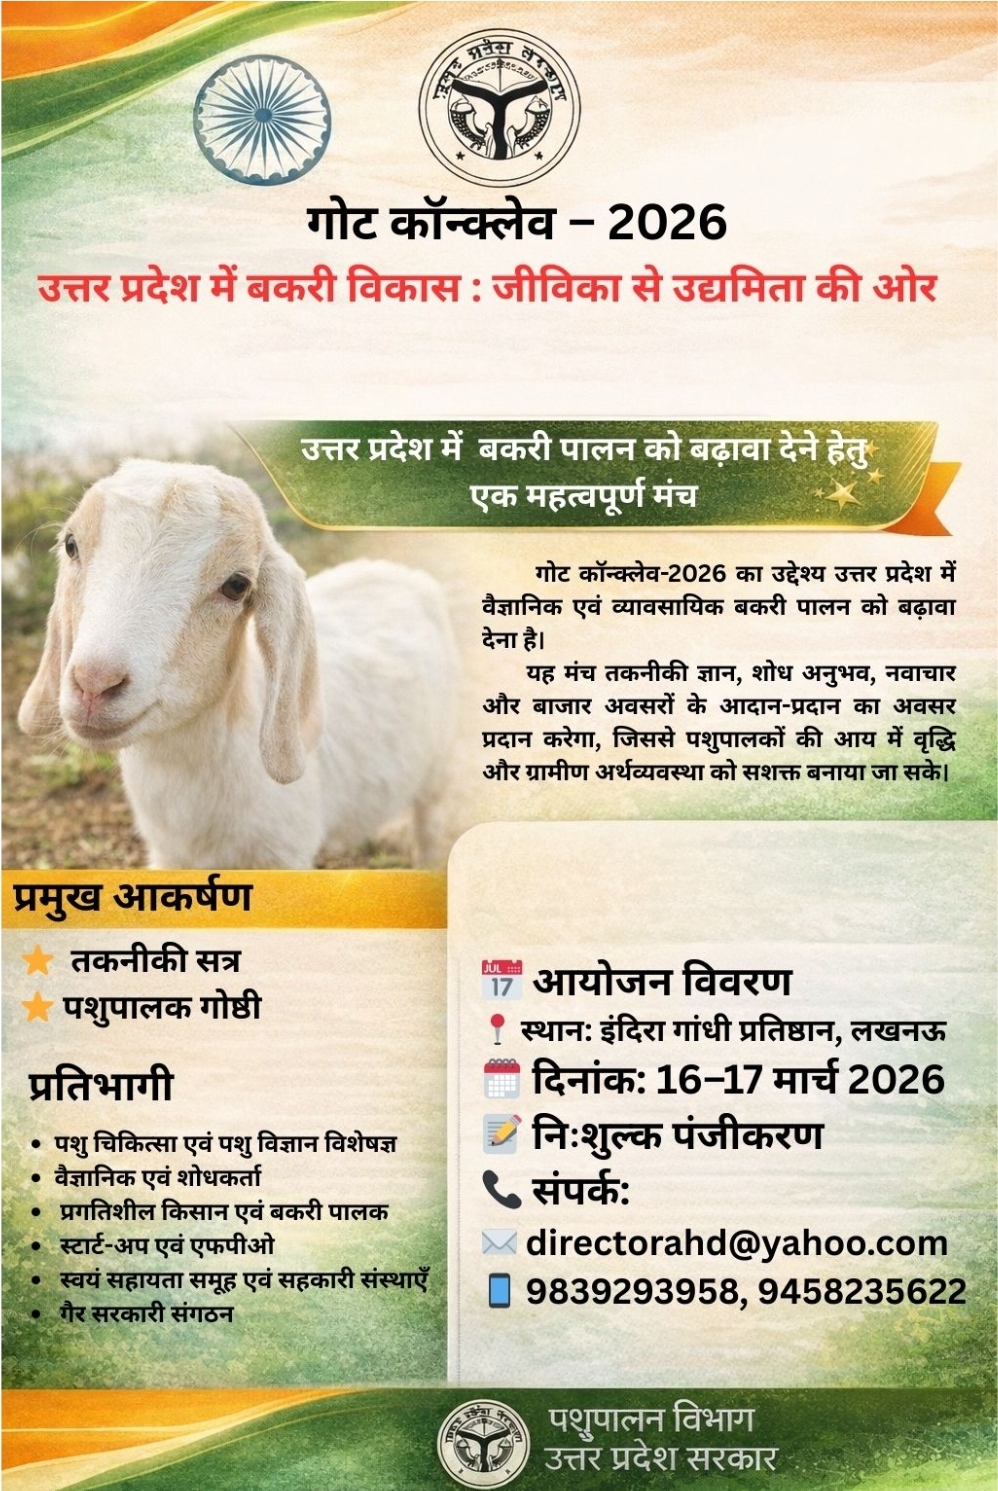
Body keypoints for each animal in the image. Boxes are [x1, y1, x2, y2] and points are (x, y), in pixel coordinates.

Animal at [19, 460, 459, 868]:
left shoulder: (285, 855)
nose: (95, 683)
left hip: (439, 772)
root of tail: (401, 571)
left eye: (236, 585)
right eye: (71, 545)